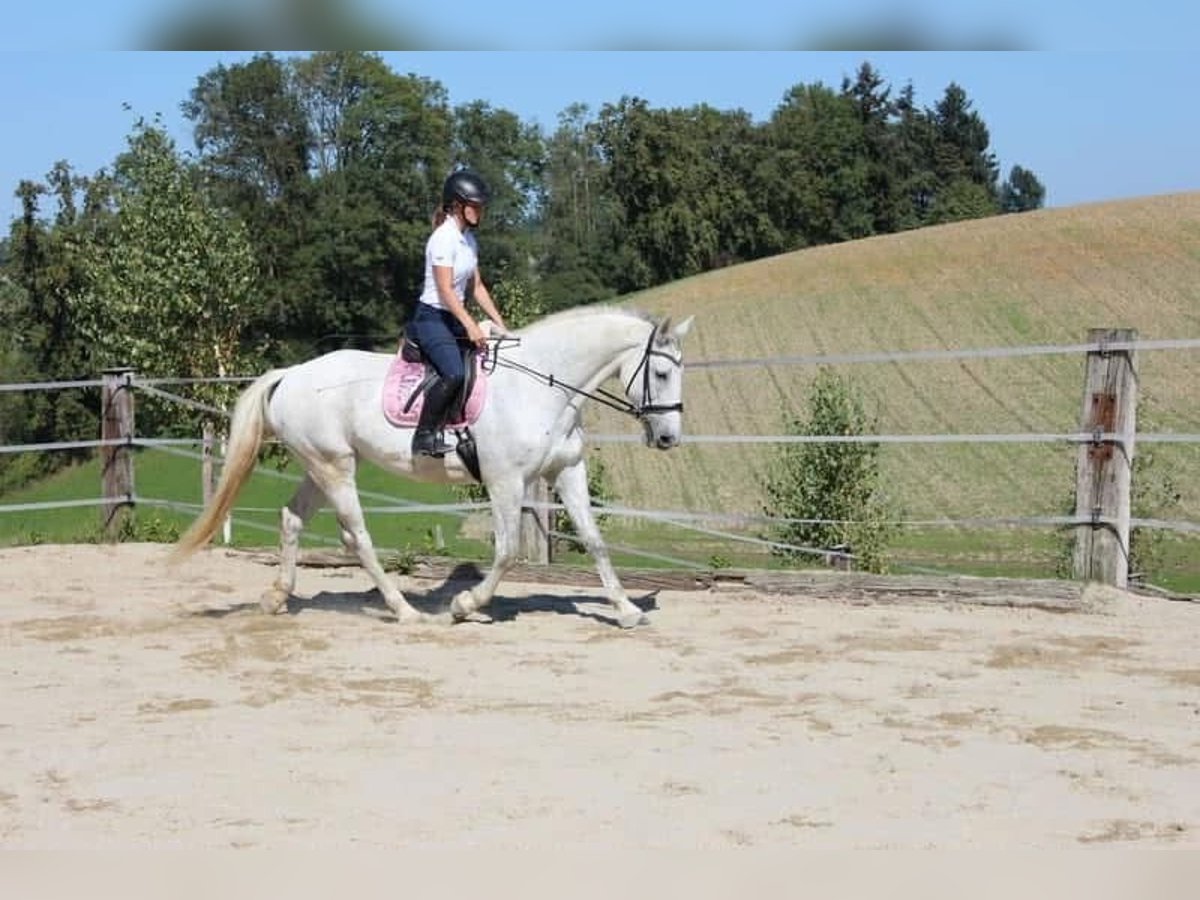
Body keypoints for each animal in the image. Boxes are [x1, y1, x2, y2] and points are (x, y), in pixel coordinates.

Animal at [170, 307, 696, 628]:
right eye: (661, 372)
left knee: (292, 519)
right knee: (356, 536)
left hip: (319, 466)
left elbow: (594, 539)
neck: (543, 387)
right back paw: (404, 611)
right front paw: (464, 605)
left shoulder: (565, 472)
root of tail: (291, 374)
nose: (669, 439)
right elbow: (506, 552)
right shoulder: (505, 481)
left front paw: (625, 609)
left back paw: (277, 597)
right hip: (335, 468)